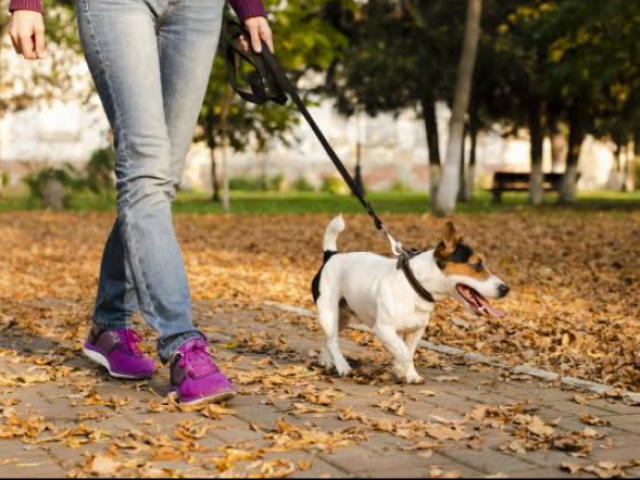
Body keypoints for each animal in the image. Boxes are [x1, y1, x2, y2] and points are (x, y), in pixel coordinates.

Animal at [312, 216, 510, 384]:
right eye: (477, 265)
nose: (506, 289)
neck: (414, 285)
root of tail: (331, 256)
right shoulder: (383, 329)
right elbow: (404, 354)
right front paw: (400, 369)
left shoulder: (415, 331)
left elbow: (407, 351)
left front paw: (409, 374)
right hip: (329, 312)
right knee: (333, 340)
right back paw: (343, 366)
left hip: (343, 317)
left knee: (328, 338)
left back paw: (326, 361)